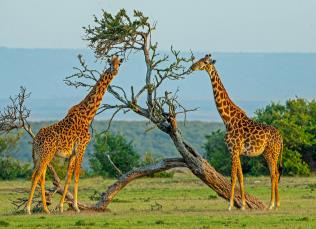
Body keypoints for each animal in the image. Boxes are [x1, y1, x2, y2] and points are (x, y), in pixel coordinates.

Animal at [25, 56, 123, 215]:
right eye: (110, 62)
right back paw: (29, 208)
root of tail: (35, 141)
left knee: (40, 176)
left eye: (119, 62)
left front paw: (61, 206)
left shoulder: (72, 153)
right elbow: (77, 176)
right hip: (46, 154)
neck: (88, 115)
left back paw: (45, 208)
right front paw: (76, 207)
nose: (114, 70)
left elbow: (68, 178)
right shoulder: (82, 147)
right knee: (37, 176)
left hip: (40, 156)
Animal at [190, 54, 284, 210]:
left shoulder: (233, 150)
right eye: (199, 59)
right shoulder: (238, 151)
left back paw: (272, 204)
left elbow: (233, 177)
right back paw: (276, 204)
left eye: (204, 62)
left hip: (272, 152)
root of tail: (282, 138)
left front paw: (230, 205)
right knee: (275, 173)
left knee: (274, 174)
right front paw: (244, 205)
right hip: (267, 153)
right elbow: (241, 177)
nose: (192, 67)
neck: (228, 120)